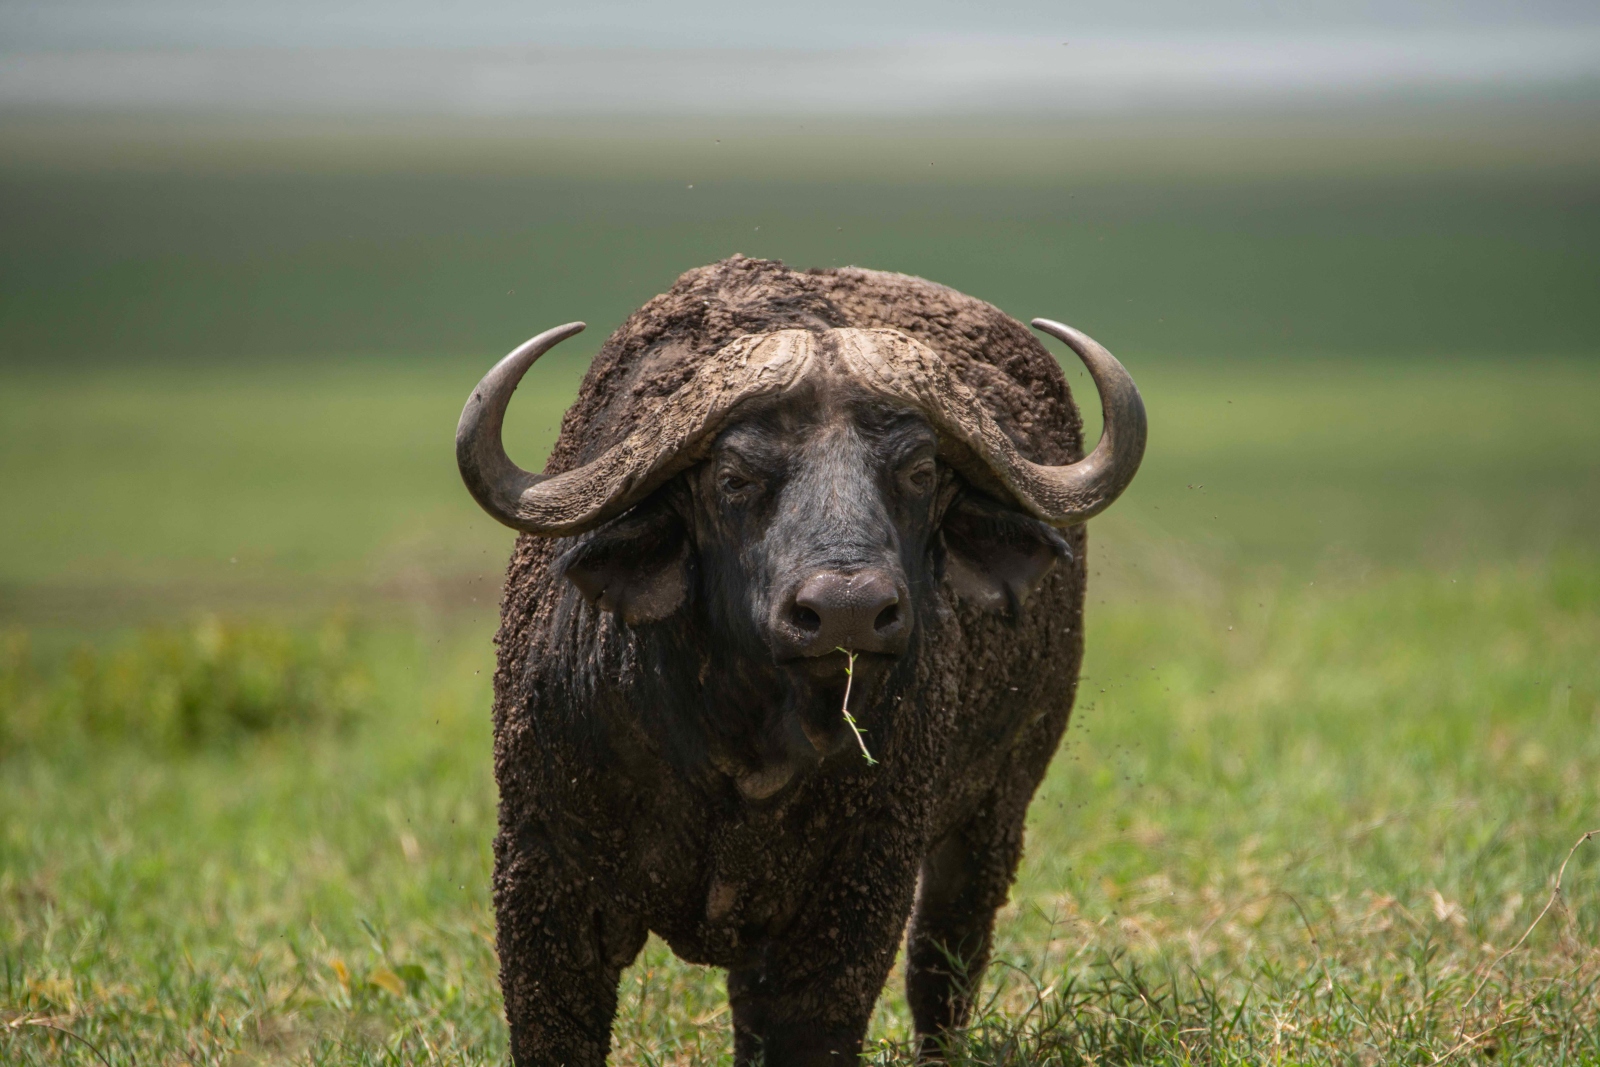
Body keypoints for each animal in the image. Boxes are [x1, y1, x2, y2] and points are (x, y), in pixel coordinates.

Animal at [455, 256, 1146, 1065]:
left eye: (919, 471)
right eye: (734, 477)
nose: (847, 609)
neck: (737, 748)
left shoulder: (860, 886)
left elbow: (817, 1023)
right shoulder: (542, 872)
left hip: (997, 808)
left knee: (945, 962)